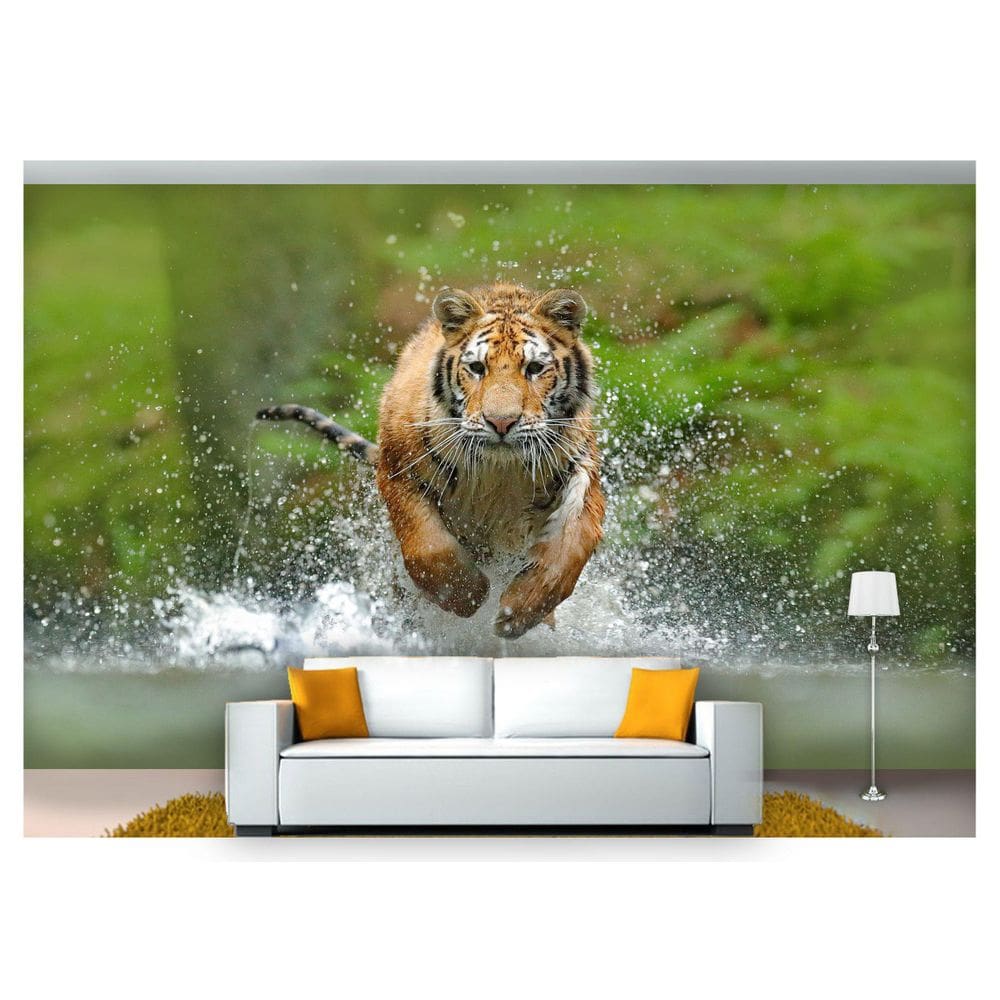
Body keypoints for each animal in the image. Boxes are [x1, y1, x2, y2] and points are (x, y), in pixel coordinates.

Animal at [258, 281, 604, 638]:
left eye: (534, 368)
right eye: (477, 368)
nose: (501, 423)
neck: (499, 469)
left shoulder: (582, 471)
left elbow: (572, 546)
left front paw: (519, 612)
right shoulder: (398, 471)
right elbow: (428, 545)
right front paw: (467, 595)